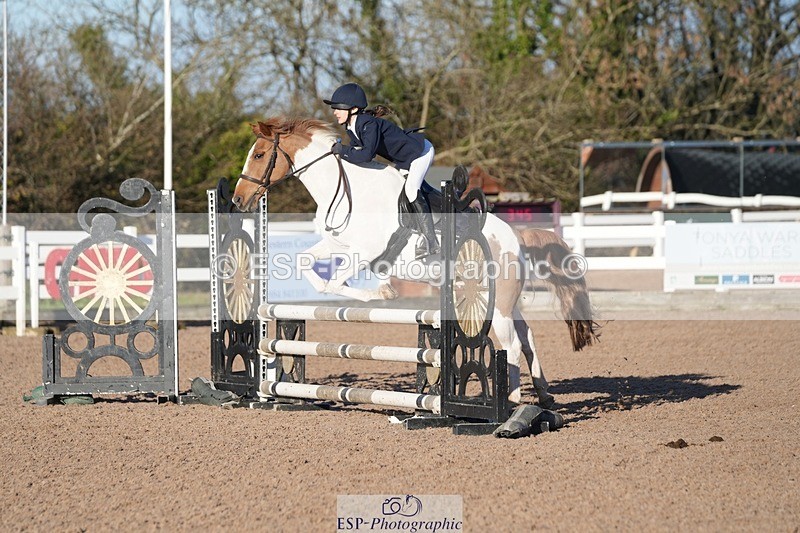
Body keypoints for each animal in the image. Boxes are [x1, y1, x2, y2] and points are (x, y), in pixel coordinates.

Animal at [232, 117, 599, 407]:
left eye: (260, 155)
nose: (237, 199)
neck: (348, 190)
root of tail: (515, 236)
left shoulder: (365, 251)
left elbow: (337, 281)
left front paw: (381, 294)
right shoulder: (337, 244)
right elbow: (307, 265)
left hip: (495, 306)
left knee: (510, 343)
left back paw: (511, 402)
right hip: (501, 301)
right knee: (527, 336)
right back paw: (544, 393)